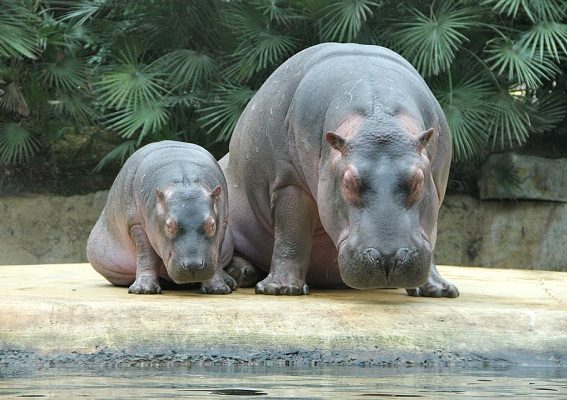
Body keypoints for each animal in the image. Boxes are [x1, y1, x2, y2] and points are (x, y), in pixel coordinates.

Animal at [87, 140, 237, 294]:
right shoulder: (136, 225)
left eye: (212, 225)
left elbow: (216, 256)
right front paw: (143, 290)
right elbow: (147, 257)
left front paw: (218, 289)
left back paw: (230, 281)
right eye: (169, 226)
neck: (184, 181)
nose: (193, 266)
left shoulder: (223, 223)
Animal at [221, 43, 459, 297]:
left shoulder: (437, 186)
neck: (378, 119)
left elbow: (431, 234)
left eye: (418, 180)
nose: (389, 258)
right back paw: (242, 273)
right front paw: (280, 288)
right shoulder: (288, 182)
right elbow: (292, 233)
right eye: (348, 182)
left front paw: (439, 290)